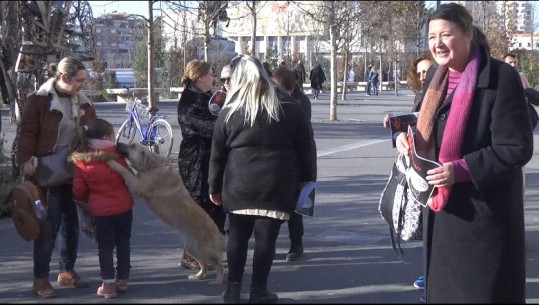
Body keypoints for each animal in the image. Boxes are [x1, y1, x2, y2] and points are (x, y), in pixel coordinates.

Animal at [107, 141, 226, 284]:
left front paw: (110, 161)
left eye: (133, 146)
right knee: (205, 265)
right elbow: (129, 170)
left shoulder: (137, 187)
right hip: (192, 249)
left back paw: (218, 280)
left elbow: (124, 170)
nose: (118, 143)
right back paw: (197, 276)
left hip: (206, 251)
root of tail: (219, 234)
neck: (153, 166)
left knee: (219, 265)